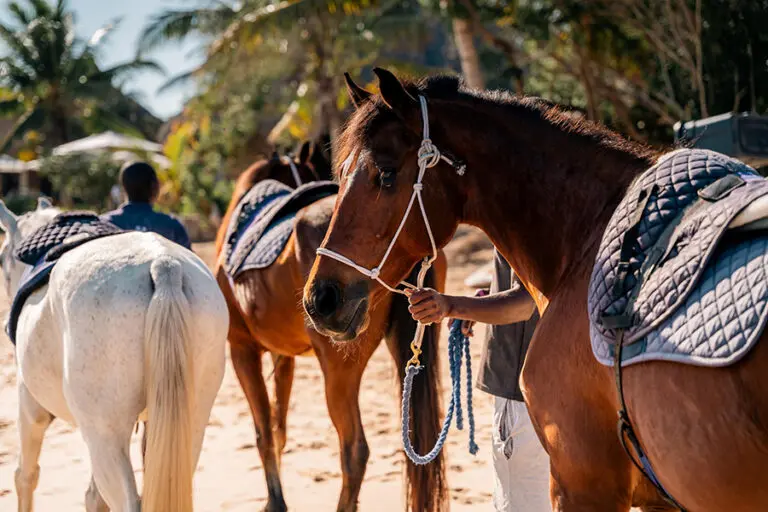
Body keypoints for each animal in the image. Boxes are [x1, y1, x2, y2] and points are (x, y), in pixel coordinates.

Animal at [0, 199, 228, 512]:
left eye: (2, 261)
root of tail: (163, 266)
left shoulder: (30, 407)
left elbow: (26, 475)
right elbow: (94, 497)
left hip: (104, 437)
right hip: (189, 424)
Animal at [213, 141, 448, 511]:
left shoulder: (241, 349)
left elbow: (264, 432)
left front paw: (275, 500)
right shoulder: (284, 356)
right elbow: (278, 429)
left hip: (338, 368)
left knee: (354, 451)